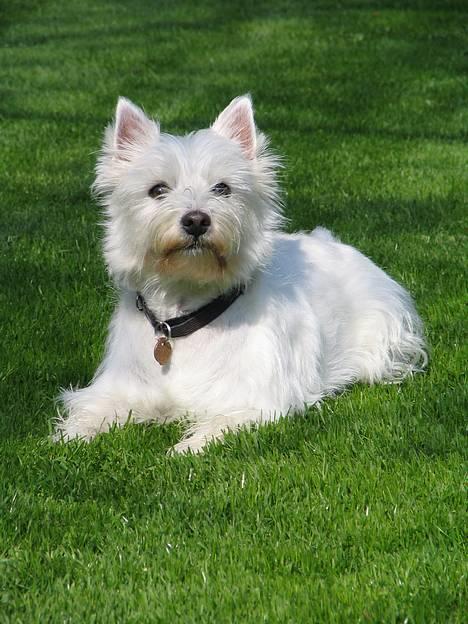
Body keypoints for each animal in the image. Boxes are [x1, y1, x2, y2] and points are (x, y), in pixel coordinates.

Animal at [55, 95, 428, 450]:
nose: (196, 220)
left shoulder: (255, 402)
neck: (185, 313)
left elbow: (216, 426)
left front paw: (185, 447)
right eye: (157, 189)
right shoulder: (122, 387)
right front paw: (69, 437)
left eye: (223, 188)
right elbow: (92, 412)